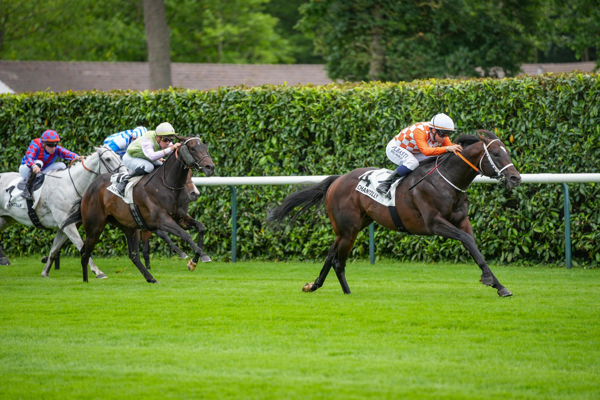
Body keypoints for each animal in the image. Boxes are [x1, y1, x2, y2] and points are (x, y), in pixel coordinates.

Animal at [0, 148, 123, 278]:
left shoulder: (65, 225)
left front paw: (45, 272)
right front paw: (98, 272)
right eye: (108, 159)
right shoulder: (68, 226)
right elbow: (81, 246)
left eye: (118, 156)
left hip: (6, 219)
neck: (71, 187)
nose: (125, 174)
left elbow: (55, 249)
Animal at [61, 136, 214, 282]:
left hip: (129, 227)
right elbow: (186, 235)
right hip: (95, 227)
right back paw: (88, 280)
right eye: (192, 148)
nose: (210, 167)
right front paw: (196, 259)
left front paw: (198, 259)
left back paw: (151, 279)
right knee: (85, 253)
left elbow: (201, 227)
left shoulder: (180, 218)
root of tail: (89, 189)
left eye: (205, 147)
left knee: (133, 255)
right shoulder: (162, 220)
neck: (168, 186)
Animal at [270, 130, 524, 296]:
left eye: (507, 152)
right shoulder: (434, 223)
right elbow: (467, 241)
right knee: (338, 261)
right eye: (496, 153)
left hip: (353, 226)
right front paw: (491, 281)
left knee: (331, 255)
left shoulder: (461, 220)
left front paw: (499, 285)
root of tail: (337, 180)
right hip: (349, 229)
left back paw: (313, 285)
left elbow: (473, 245)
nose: (515, 178)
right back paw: (347, 293)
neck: (447, 181)